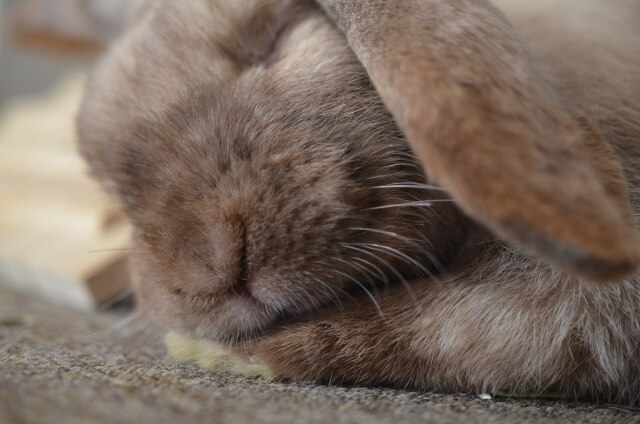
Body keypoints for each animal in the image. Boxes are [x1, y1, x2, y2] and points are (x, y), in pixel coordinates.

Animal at [77, 0, 640, 404]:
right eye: (108, 179)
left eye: (275, 38)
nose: (211, 270)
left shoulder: (575, 309)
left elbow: (429, 326)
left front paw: (223, 352)